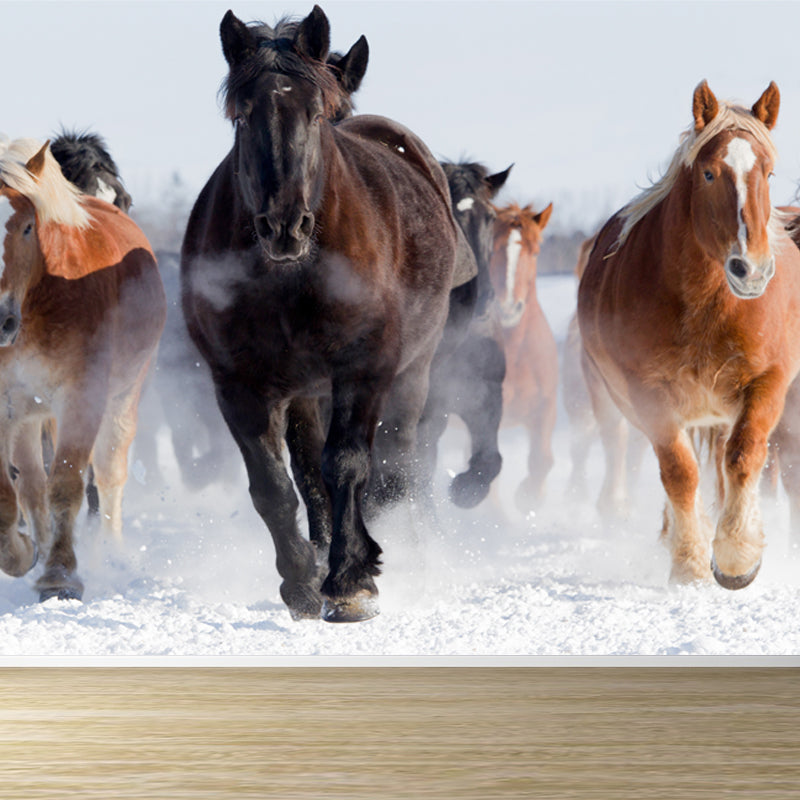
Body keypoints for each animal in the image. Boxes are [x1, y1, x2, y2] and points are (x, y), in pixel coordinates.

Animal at [0, 138, 165, 601]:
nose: (0, 321)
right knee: (32, 483)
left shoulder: (81, 399)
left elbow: (68, 483)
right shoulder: (8, 406)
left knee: (107, 476)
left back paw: (110, 552)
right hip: (31, 413)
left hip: (122, 399)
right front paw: (22, 554)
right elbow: (11, 490)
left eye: (26, 227)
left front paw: (60, 576)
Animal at [180, 7, 466, 622]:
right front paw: (303, 581)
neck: (292, 278)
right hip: (306, 391)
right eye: (242, 116)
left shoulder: (364, 368)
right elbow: (274, 486)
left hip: (413, 371)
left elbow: (350, 466)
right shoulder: (241, 385)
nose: (284, 225)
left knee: (394, 466)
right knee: (311, 471)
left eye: (315, 113)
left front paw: (352, 580)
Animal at [578, 80, 800, 590]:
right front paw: (690, 563)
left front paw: (737, 556)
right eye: (709, 173)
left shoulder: (769, 382)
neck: (706, 305)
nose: (751, 270)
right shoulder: (649, 394)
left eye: (769, 172)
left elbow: (744, 456)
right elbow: (679, 473)